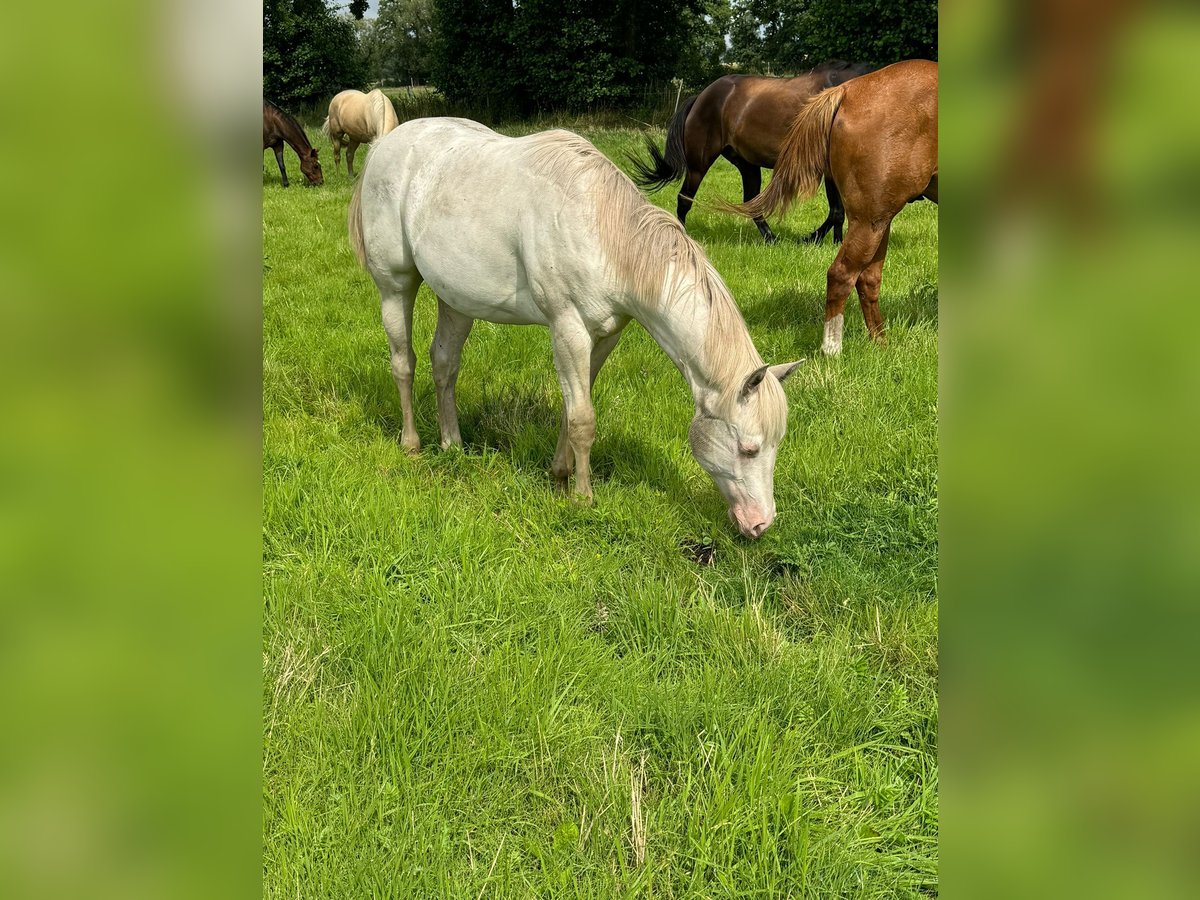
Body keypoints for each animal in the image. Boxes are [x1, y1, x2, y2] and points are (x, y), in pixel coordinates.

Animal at [348, 120, 801, 542]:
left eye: (776, 445)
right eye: (748, 448)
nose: (760, 524)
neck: (603, 231)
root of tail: (383, 144)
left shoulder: (604, 337)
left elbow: (573, 408)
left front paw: (560, 474)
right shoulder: (568, 329)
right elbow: (583, 418)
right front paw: (583, 497)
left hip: (455, 300)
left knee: (444, 365)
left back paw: (452, 445)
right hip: (395, 286)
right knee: (403, 363)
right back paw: (412, 445)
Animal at [628, 60, 873, 244]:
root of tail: (700, 96)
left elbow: (838, 212)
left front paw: (832, 242)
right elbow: (836, 211)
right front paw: (815, 239)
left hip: (748, 165)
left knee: (752, 202)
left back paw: (772, 239)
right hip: (699, 164)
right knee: (684, 199)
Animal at [729, 59, 936, 355]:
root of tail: (847, 91)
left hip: (879, 222)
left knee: (867, 279)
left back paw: (879, 342)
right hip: (870, 222)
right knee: (841, 276)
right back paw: (832, 348)